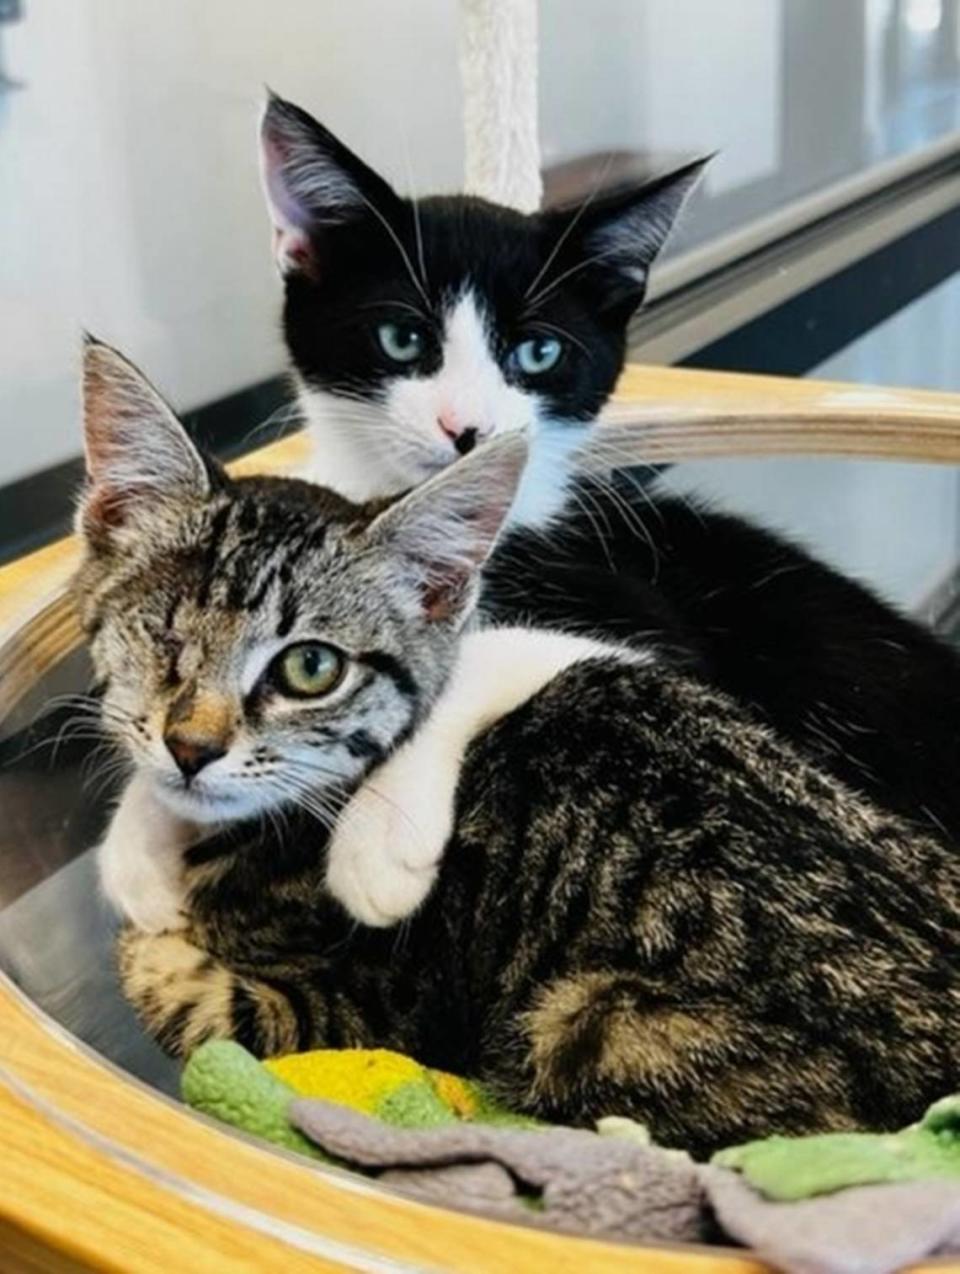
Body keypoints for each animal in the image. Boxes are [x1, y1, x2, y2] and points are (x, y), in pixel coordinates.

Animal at [78, 338, 957, 1156]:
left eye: (310, 668)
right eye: (160, 634)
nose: (192, 747)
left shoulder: (357, 1008)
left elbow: (183, 997)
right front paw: (139, 855)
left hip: (591, 1022)